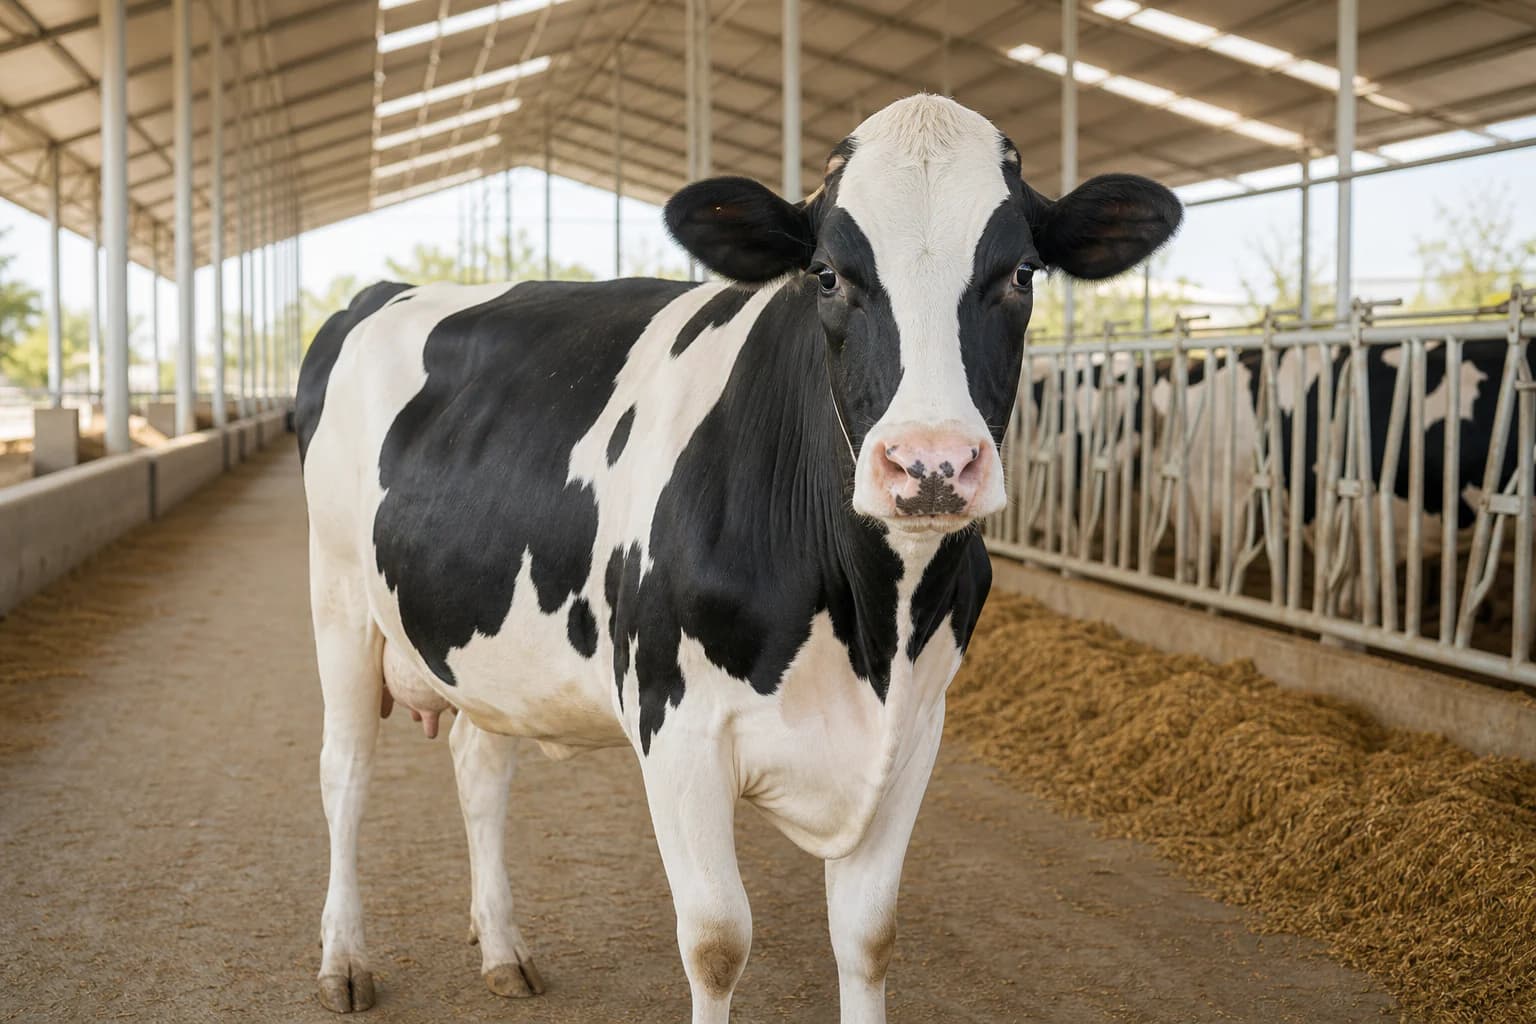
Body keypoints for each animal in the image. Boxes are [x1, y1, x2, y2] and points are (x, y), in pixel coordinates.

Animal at [295, 94, 1179, 1022]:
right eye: (827, 275)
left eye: (1023, 274)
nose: (931, 465)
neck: (873, 629)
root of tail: (376, 292)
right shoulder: (676, 725)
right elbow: (717, 943)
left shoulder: (916, 730)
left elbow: (868, 938)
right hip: (339, 598)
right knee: (345, 774)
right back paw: (344, 960)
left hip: (485, 641)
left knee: (480, 763)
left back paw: (503, 948)